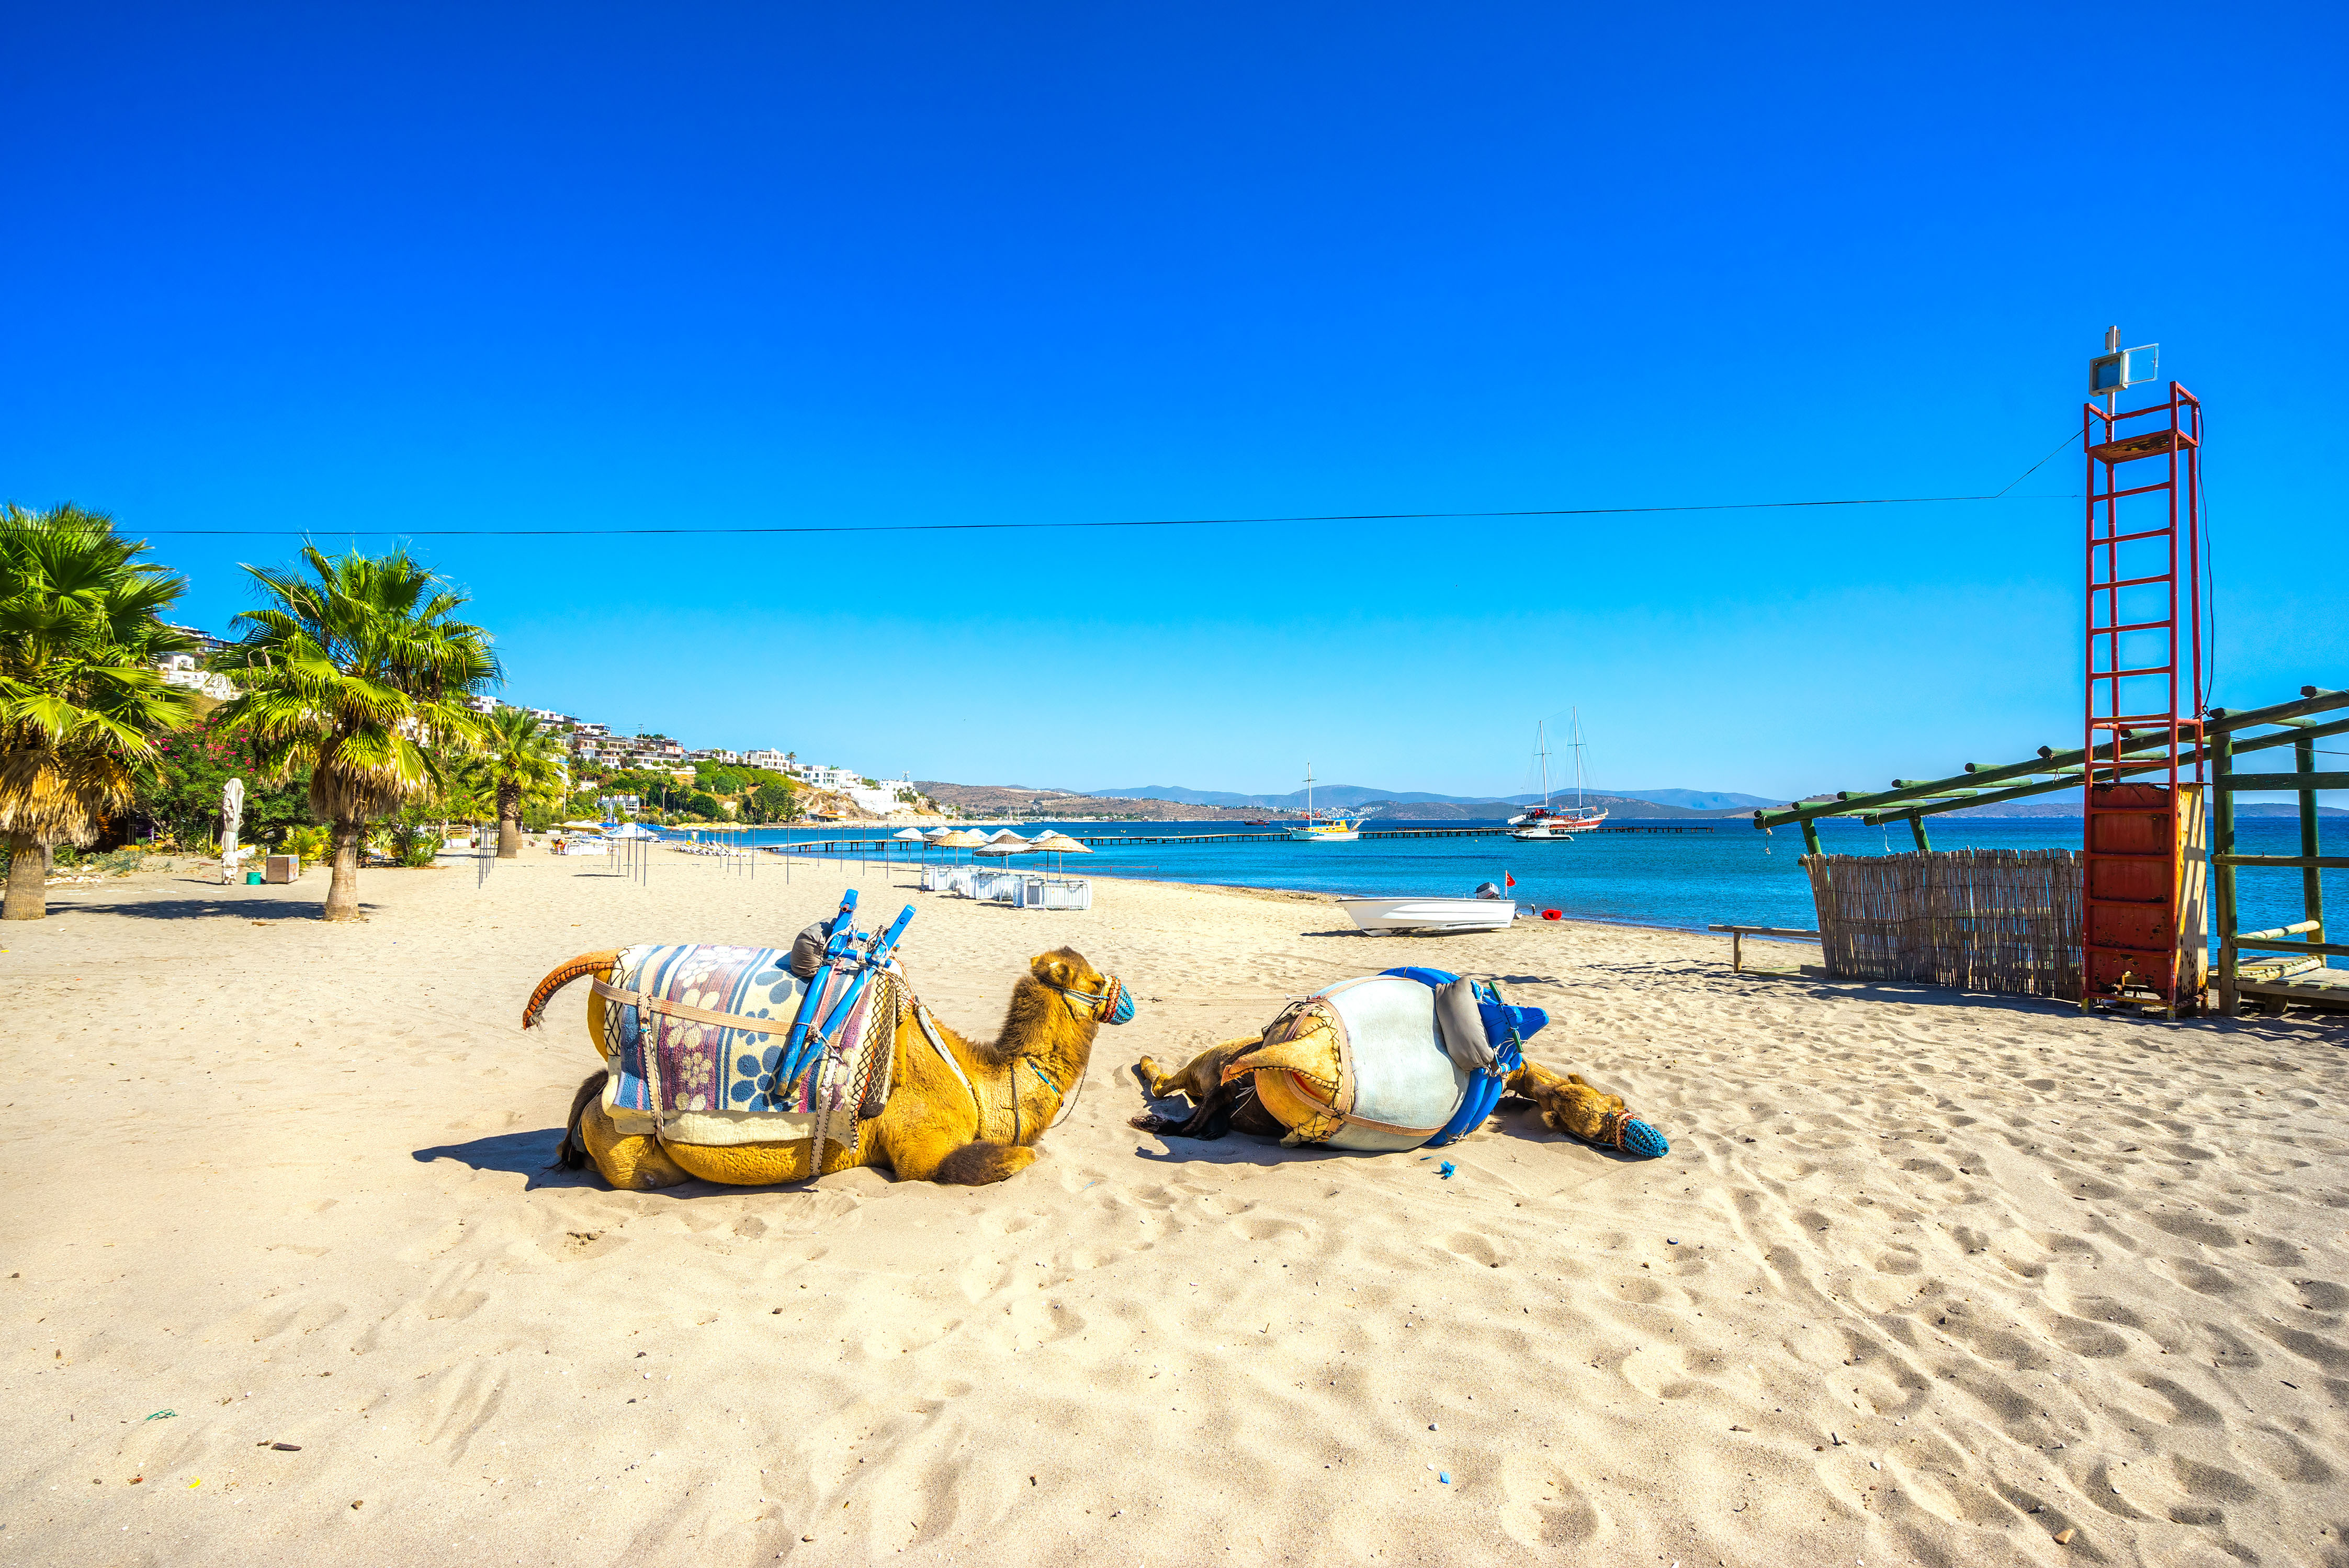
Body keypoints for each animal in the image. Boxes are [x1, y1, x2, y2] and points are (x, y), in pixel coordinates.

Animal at [522, 941, 1131, 1188]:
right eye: (1094, 979)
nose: (1124, 997)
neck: (980, 1081)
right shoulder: (922, 1150)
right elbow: (1007, 1160)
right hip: (632, 1149)